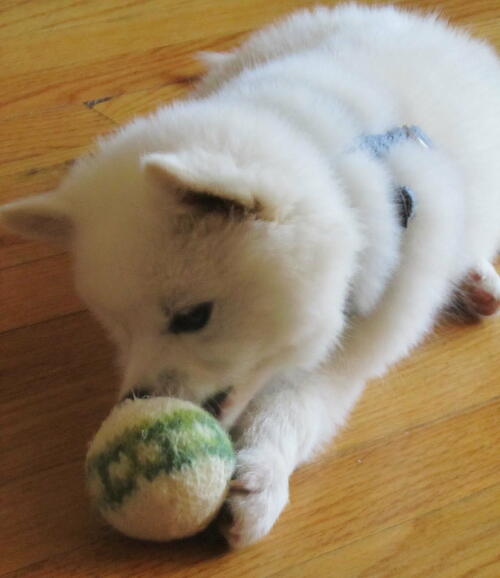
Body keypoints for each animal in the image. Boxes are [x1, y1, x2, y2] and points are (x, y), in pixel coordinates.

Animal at [0, 3, 500, 544]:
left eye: (193, 318)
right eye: (118, 329)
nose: (137, 401)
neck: (337, 169)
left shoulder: (367, 335)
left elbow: (295, 404)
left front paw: (261, 474)